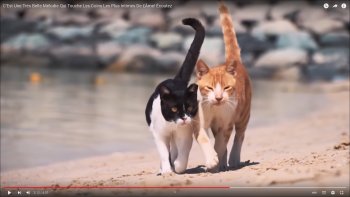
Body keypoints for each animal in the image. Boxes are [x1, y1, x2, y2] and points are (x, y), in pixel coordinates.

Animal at [146, 17, 205, 173]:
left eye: (189, 107)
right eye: (173, 108)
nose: (184, 117)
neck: (172, 125)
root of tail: (176, 80)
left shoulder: (185, 134)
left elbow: (182, 155)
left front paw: (177, 167)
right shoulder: (159, 134)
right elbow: (163, 153)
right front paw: (166, 170)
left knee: (175, 149)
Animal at [194, 1, 252, 171]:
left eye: (226, 88)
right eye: (209, 88)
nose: (219, 98)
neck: (215, 109)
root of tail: (235, 62)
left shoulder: (226, 124)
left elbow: (220, 143)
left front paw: (217, 159)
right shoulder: (199, 122)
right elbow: (204, 139)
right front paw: (212, 160)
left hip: (244, 115)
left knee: (239, 136)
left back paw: (233, 160)